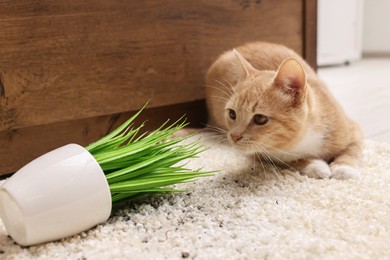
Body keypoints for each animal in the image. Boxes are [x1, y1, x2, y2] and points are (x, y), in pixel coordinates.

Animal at [206, 42, 364, 179]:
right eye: (232, 113)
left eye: (260, 118)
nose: (234, 136)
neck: (304, 139)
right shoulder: (262, 154)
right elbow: (291, 160)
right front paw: (314, 165)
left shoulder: (354, 129)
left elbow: (353, 149)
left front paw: (345, 167)